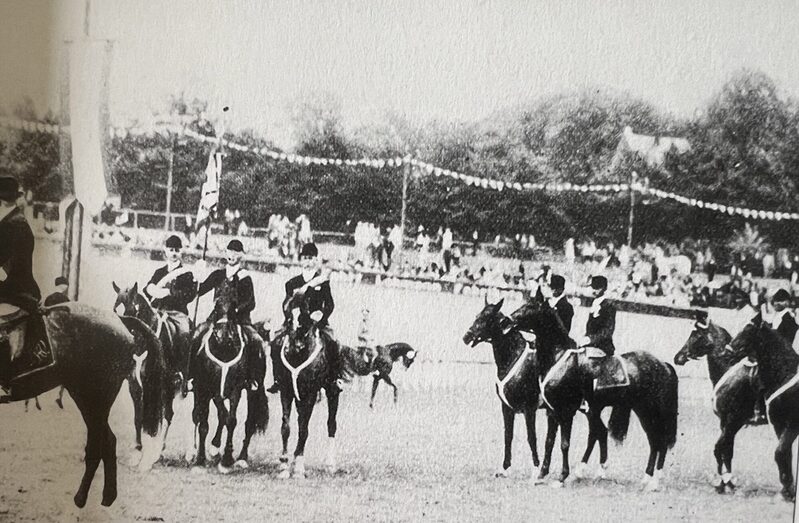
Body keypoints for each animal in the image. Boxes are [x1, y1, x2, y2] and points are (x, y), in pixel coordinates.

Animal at [2, 304, 166, 510]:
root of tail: (119, 320)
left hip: (92, 399)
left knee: (96, 446)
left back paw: (81, 498)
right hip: (90, 401)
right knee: (109, 441)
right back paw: (108, 496)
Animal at [462, 298, 556, 484]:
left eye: (487, 318)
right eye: (477, 315)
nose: (466, 337)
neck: (514, 357)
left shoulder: (529, 409)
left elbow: (531, 437)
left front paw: (535, 470)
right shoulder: (506, 408)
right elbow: (508, 435)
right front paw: (504, 469)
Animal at [520, 300, 680, 490]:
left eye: (528, 308)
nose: (506, 320)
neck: (559, 358)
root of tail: (663, 364)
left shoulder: (566, 412)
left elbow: (564, 444)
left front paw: (561, 478)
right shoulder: (552, 411)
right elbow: (549, 441)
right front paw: (541, 475)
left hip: (651, 410)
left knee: (660, 440)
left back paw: (654, 482)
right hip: (640, 410)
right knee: (653, 441)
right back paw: (646, 478)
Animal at [672, 314, 760, 494]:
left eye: (696, 335)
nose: (678, 357)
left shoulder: (734, 421)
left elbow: (720, 449)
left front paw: (725, 483)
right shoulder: (726, 423)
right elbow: (727, 451)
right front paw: (725, 482)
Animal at [732, 316, 799, 504]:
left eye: (748, 331)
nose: (729, 348)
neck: (786, 375)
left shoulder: (793, 424)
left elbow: (780, 451)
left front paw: (788, 491)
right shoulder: (778, 424)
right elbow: (784, 454)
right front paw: (787, 490)